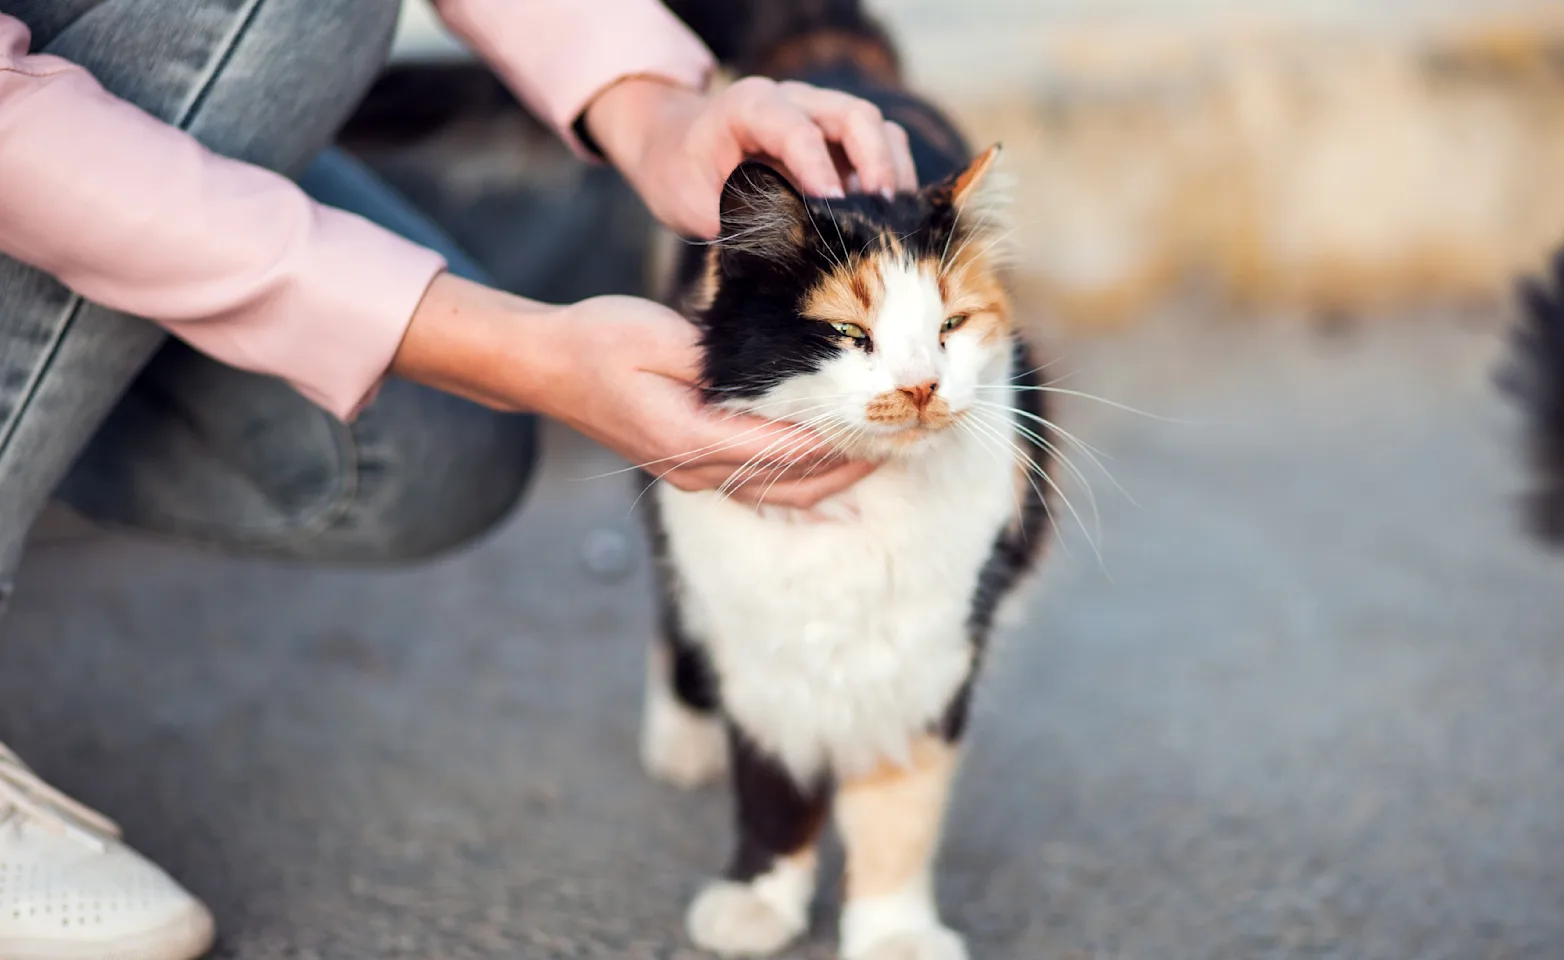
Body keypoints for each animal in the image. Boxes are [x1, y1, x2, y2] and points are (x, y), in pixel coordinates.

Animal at [641, 3, 1057, 956]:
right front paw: (755, 901)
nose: (922, 386)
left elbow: (898, 811)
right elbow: (773, 791)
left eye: (951, 326)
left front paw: (893, 932)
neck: (864, 510)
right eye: (846, 334)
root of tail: (831, 54)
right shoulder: (763, 659)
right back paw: (682, 737)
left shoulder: (931, 657)